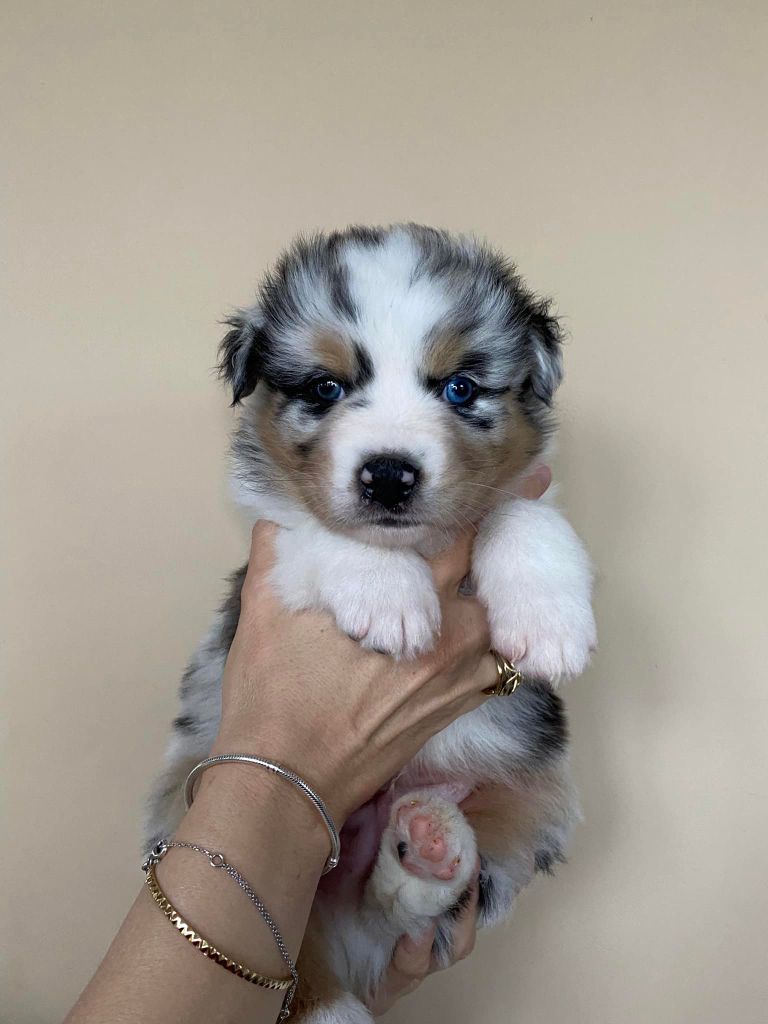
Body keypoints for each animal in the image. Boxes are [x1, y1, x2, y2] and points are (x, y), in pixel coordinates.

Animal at [145, 223, 596, 1022]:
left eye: (459, 388)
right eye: (326, 388)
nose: (388, 475)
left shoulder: (520, 491)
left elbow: (522, 512)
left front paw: (551, 618)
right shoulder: (273, 543)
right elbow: (324, 531)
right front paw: (390, 597)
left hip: (534, 802)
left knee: (407, 905)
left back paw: (431, 842)